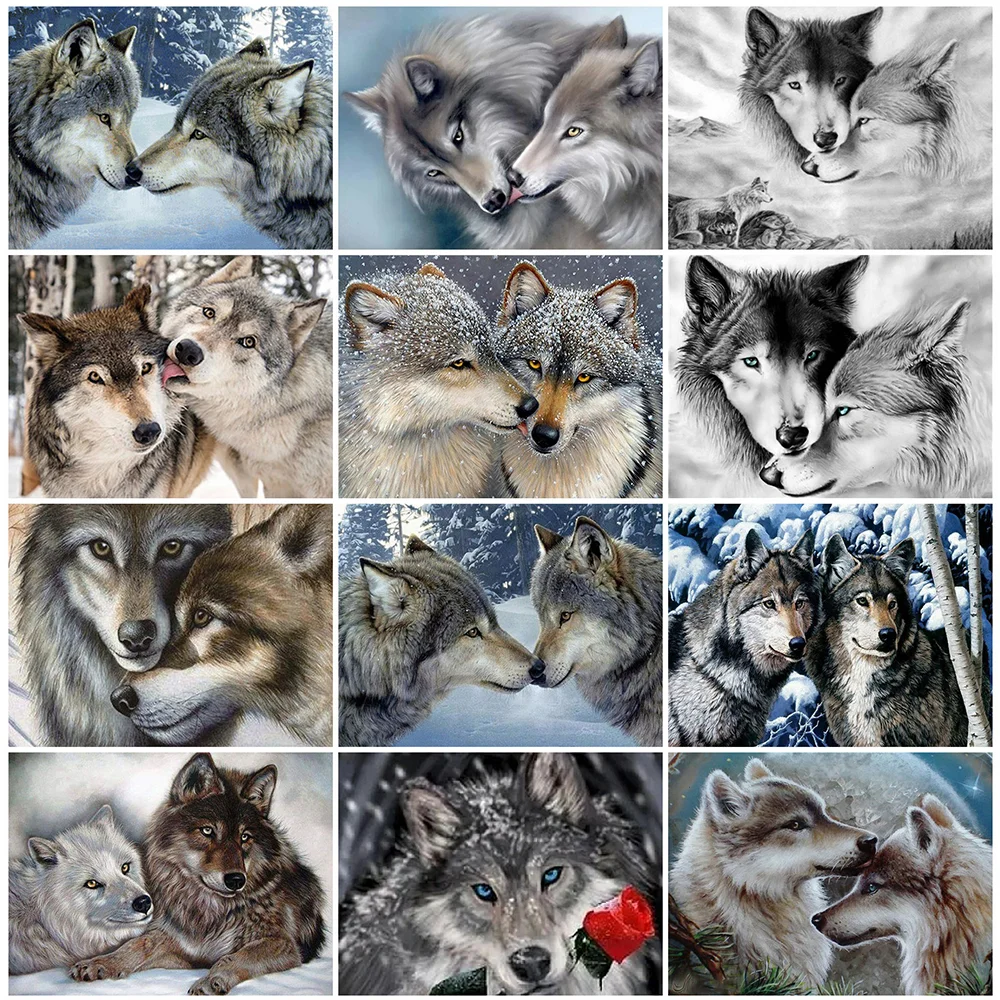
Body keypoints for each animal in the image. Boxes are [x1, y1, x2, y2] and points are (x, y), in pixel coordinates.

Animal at [70, 753, 325, 994]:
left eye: (244, 837)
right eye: (207, 831)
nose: (236, 880)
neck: (209, 911)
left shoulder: (283, 944)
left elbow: (234, 957)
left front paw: (212, 980)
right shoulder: (181, 949)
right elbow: (137, 944)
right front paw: (100, 963)